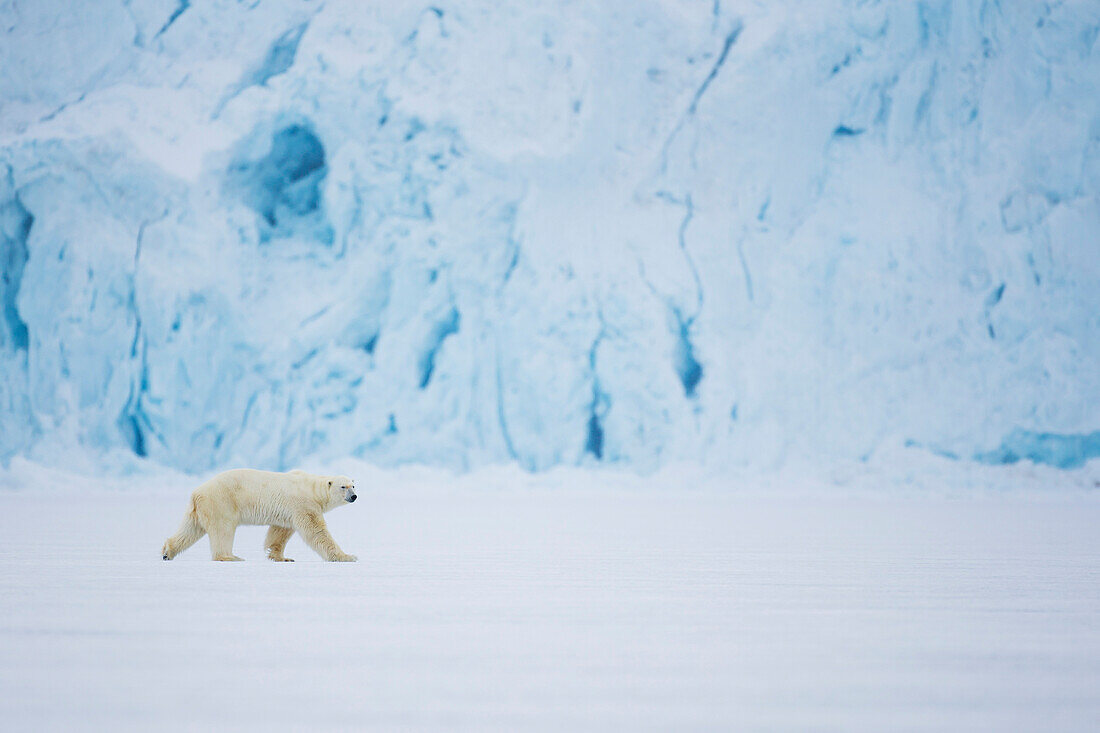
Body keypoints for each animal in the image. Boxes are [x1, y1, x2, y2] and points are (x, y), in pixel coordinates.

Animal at [160, 468, 358, 559]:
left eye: (354, 485)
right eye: (343, 486)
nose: (354, 496)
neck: (312, 489)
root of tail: (197, 492)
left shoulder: (289, 512)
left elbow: (279, 532)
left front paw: (281, 557)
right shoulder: (303, 505)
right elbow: (316, 532)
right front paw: (347, 557)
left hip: (199, 509)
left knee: (190, 529)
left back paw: (167, 552)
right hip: (221, 502)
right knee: (223, 530)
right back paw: (231, 557)